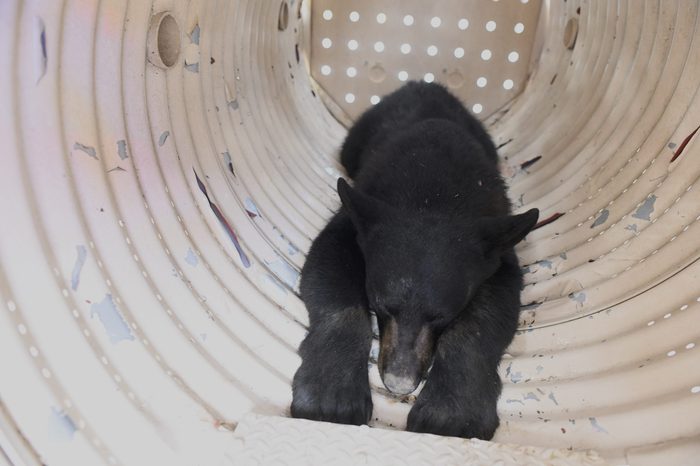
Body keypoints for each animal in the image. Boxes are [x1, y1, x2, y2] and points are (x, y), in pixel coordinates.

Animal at [290, 81, 539, 439]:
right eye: (380, 305)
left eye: (442, 317)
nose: (399, 383)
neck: (434, 194)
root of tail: (422, 83)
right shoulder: (357, 217)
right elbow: (329, 273)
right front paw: (330, 395)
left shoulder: (494, 248)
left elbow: (489, 313)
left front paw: (452, 413)